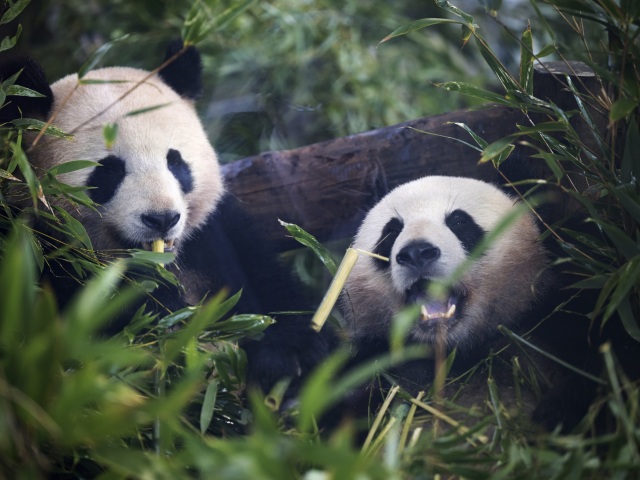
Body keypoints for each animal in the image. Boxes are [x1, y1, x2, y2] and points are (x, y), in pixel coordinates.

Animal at [0, 41, 332, 393]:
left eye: (175, 162)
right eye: (109, 171)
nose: (162, 219)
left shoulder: (217, 232)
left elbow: (272, 289)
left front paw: (289, 354)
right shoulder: (40, 251)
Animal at [335, 175, 593, 430]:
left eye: (459, 222)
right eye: (391, 231)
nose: (417, 252)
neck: (454, 351)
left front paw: (557, 411)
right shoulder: (372, 363)